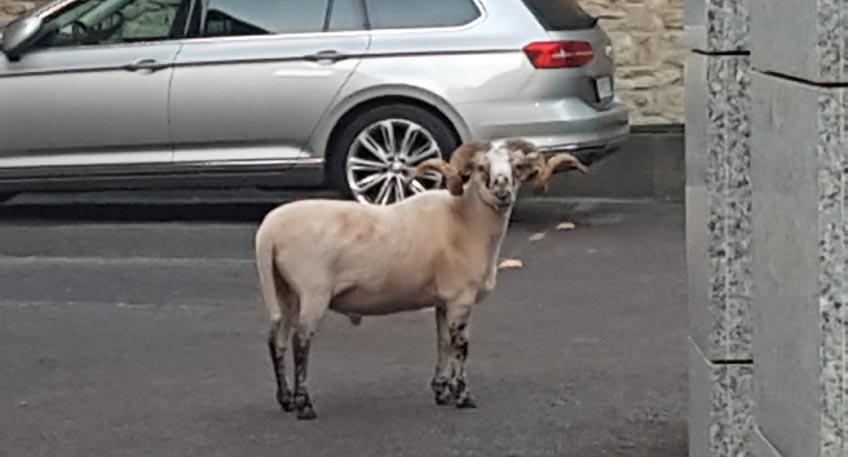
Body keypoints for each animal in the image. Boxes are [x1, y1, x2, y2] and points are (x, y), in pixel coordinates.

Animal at [253, 137, 588, 418]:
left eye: (516, 167)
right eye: (482, 168)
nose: (503, 193)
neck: (465, 222)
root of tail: (268, 231)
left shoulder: (443, 301)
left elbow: (442, 342)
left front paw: (442, 392)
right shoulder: (461, 299)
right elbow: (461, 346)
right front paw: (464, 396)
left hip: (286, 291)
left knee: (276, 339)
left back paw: (286, 400)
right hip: (313, 291)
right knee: (300, 341)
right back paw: (305, 406)